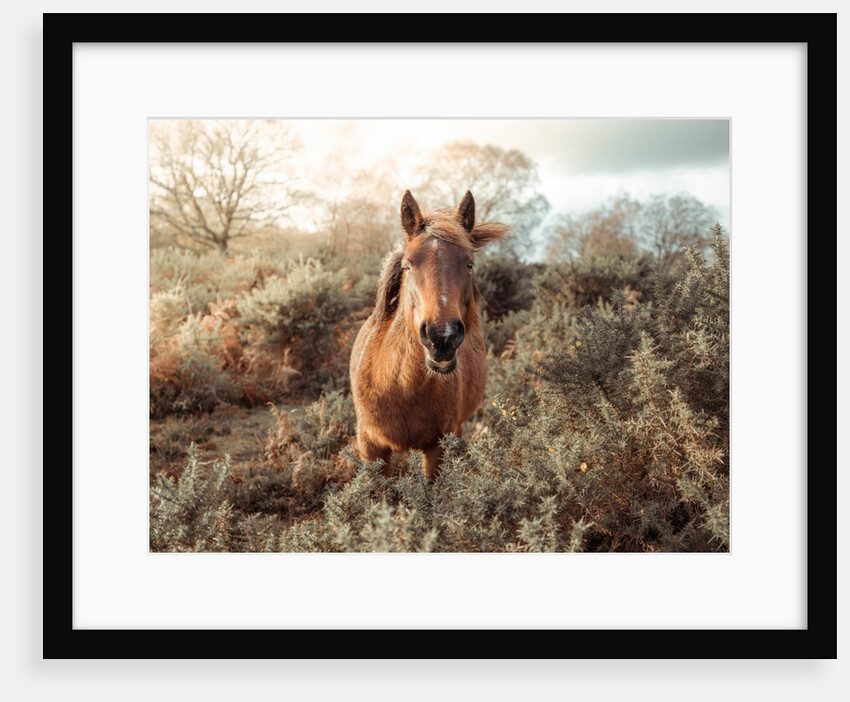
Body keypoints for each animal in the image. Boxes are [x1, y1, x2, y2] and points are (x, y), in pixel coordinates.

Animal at [349, 189, 509, 481]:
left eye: (469, 264)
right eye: (408, 265)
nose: (442, 337)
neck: (400, 386)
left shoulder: (439, 447)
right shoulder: (371, 447)